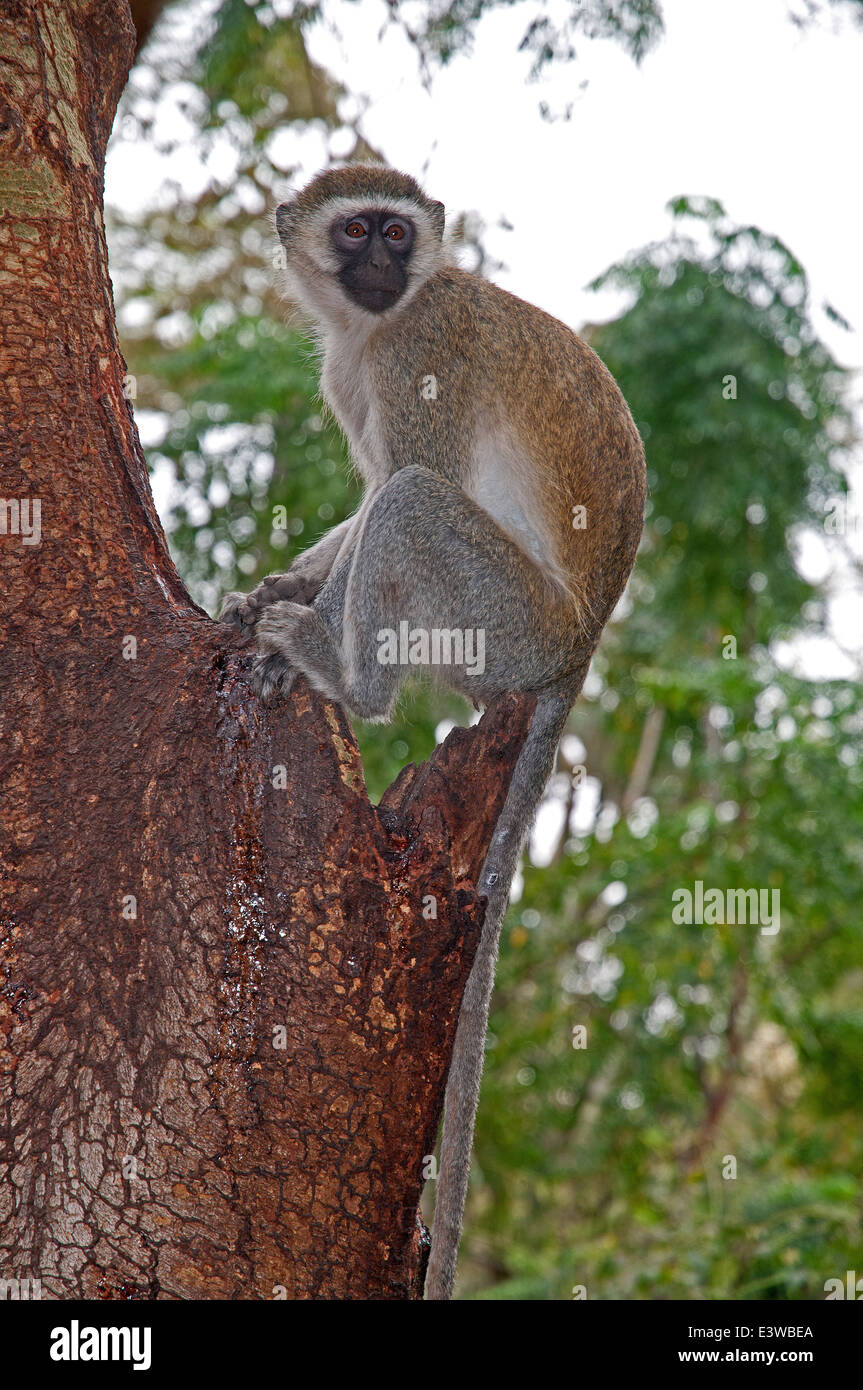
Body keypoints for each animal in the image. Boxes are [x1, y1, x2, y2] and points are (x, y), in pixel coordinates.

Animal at [218, 165, 642, 1301]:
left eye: (397, 234)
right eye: (356, 228)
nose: (378, 263)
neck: (379, 321)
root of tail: (578, 647)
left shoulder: (418, 360)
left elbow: (392, 491)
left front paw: (301, 632)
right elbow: (359, 503)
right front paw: (279, 586)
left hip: (497, 619)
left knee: (411, 499)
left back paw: (346, 675)